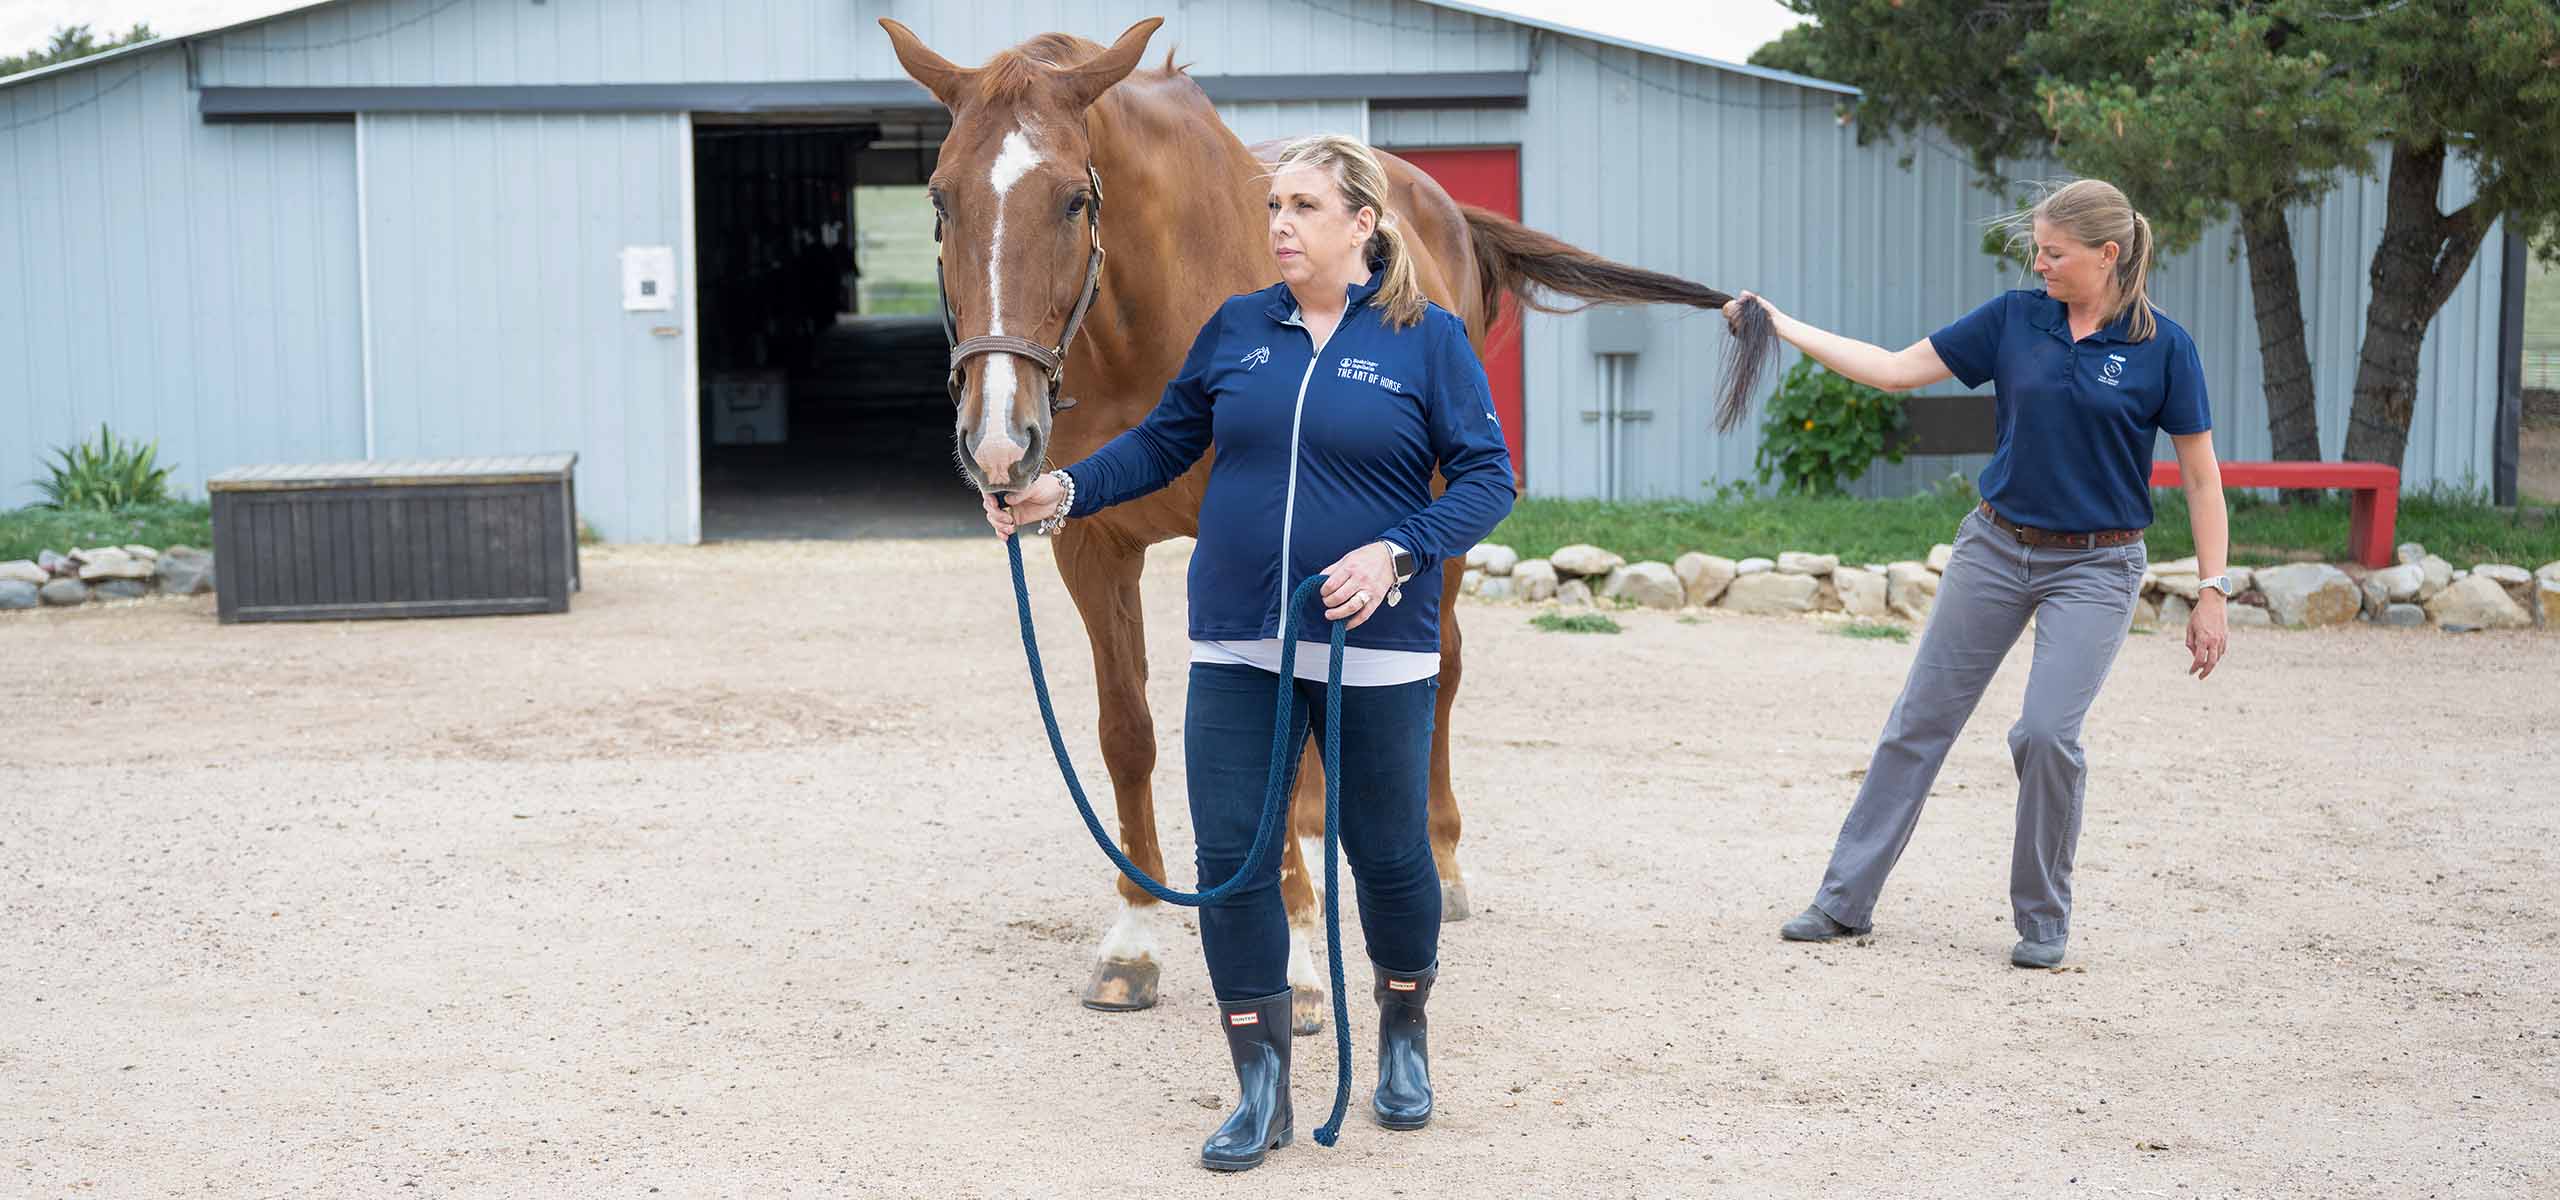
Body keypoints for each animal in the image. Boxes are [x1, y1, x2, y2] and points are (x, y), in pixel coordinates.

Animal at [890, 16, 1771, 1028]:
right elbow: (1129, 733)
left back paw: (1440, 863)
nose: (999, 442)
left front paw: (1299, 960)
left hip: (1434, 532)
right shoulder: (1092, 545)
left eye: (1076, 201)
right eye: (941, 201)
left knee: (1440, 675)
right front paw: (1135, 942)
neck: (1158, 316)